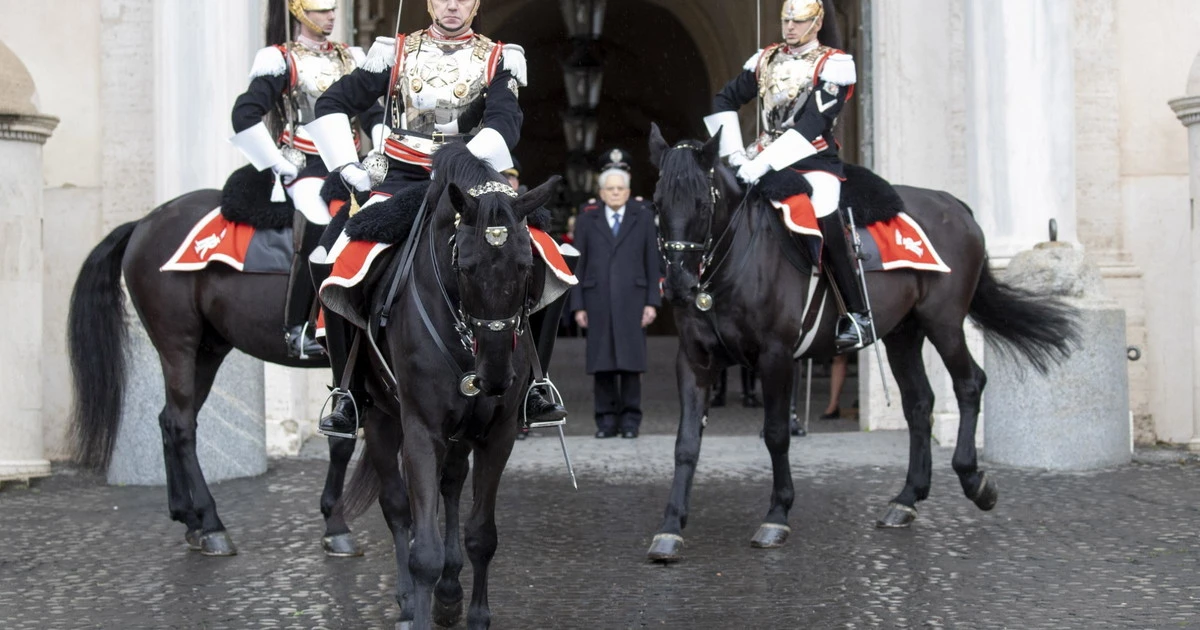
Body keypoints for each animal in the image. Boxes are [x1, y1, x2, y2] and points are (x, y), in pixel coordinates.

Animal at [68, 187, 357, 554]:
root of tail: (145, 223)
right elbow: (344, 443)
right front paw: (336, 524)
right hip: (177, 345)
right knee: (180, 425)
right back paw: (210, 523)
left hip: (208, 352)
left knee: (170, 419)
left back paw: (189, 518)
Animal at [336, 143, 559, 628]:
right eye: (467, 267)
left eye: (526, 265)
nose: (494, 377)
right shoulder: (421, 429)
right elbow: (423, 551)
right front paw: (419, 604)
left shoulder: (497, 434)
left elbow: (482, 534)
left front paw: (474, 613)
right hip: (381, 418)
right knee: (397, 507)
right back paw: (407, 600)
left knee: (452, 486)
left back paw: (450, 592)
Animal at [648, 123, 1080, 559]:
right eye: (657, 205)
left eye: (703, 204)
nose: (679, 287)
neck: (733, 265)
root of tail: (954, 204)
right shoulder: (695, 360)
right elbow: (686, 443)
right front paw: (670, 528)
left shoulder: (776, 356)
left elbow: (776, 434)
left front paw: (777, 516)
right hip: (903, 334)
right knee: (919, 403)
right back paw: (906, 499)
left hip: (943, 322)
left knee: (969, 383)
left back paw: (975, 481)